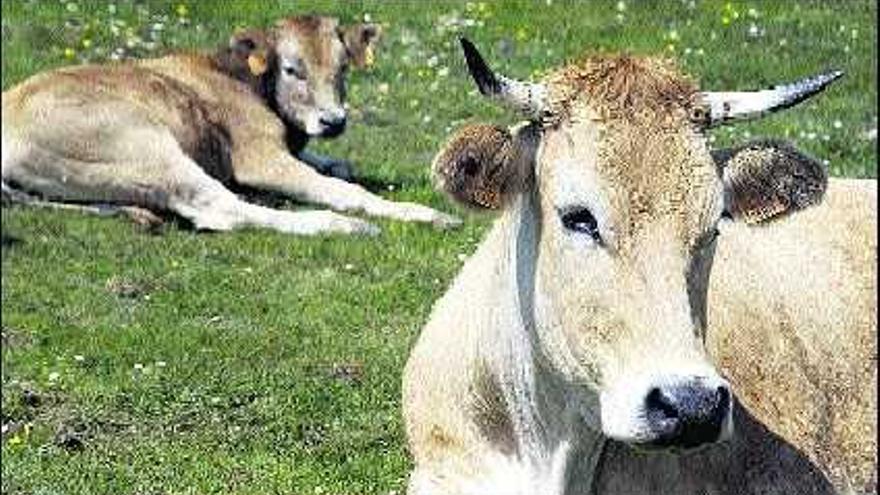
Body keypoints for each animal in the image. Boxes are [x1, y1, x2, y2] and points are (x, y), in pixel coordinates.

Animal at [1, 13, 460, 234]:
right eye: (292, 69)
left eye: (343, 66)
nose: (333, 122)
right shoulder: (258, 156)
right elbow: (342, 189)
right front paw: (416, 212)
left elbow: (333, 167)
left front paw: (334, 160)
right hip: (145, 146)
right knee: (222, 210)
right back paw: (344, 226)